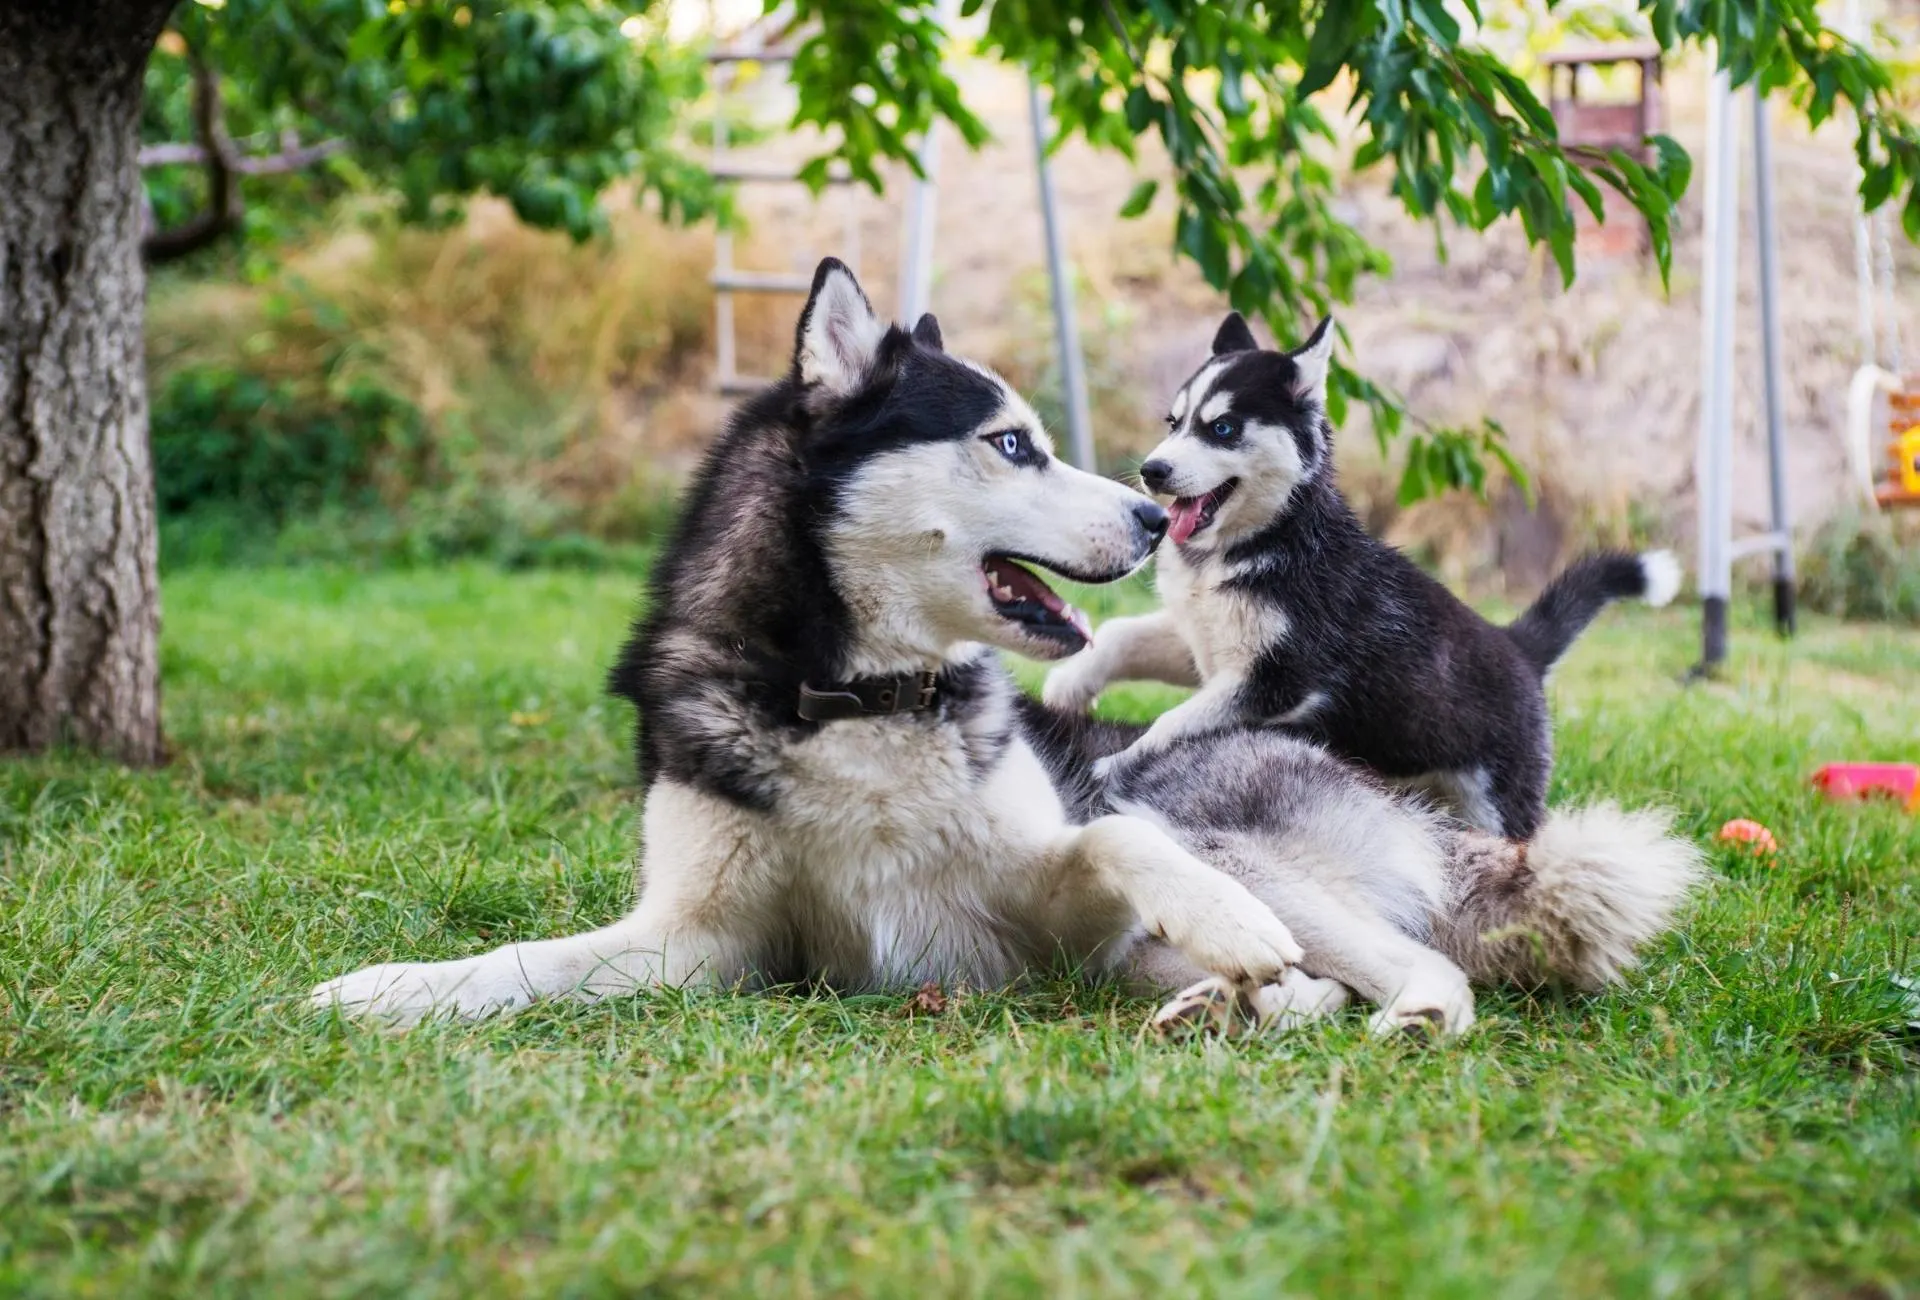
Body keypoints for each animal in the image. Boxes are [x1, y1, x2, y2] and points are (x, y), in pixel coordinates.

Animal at [1052, 314, 1681, 841]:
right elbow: (1123, 634)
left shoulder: (1276, 680)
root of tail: (1517, 646)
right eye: (1174, 422)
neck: (1261, 541)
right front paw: (1072, 682)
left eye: (1223, 428)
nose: (1152, 470)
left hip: (1498, 801)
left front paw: (1112, 763)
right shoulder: (1204, 645)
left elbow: (1172, 723)